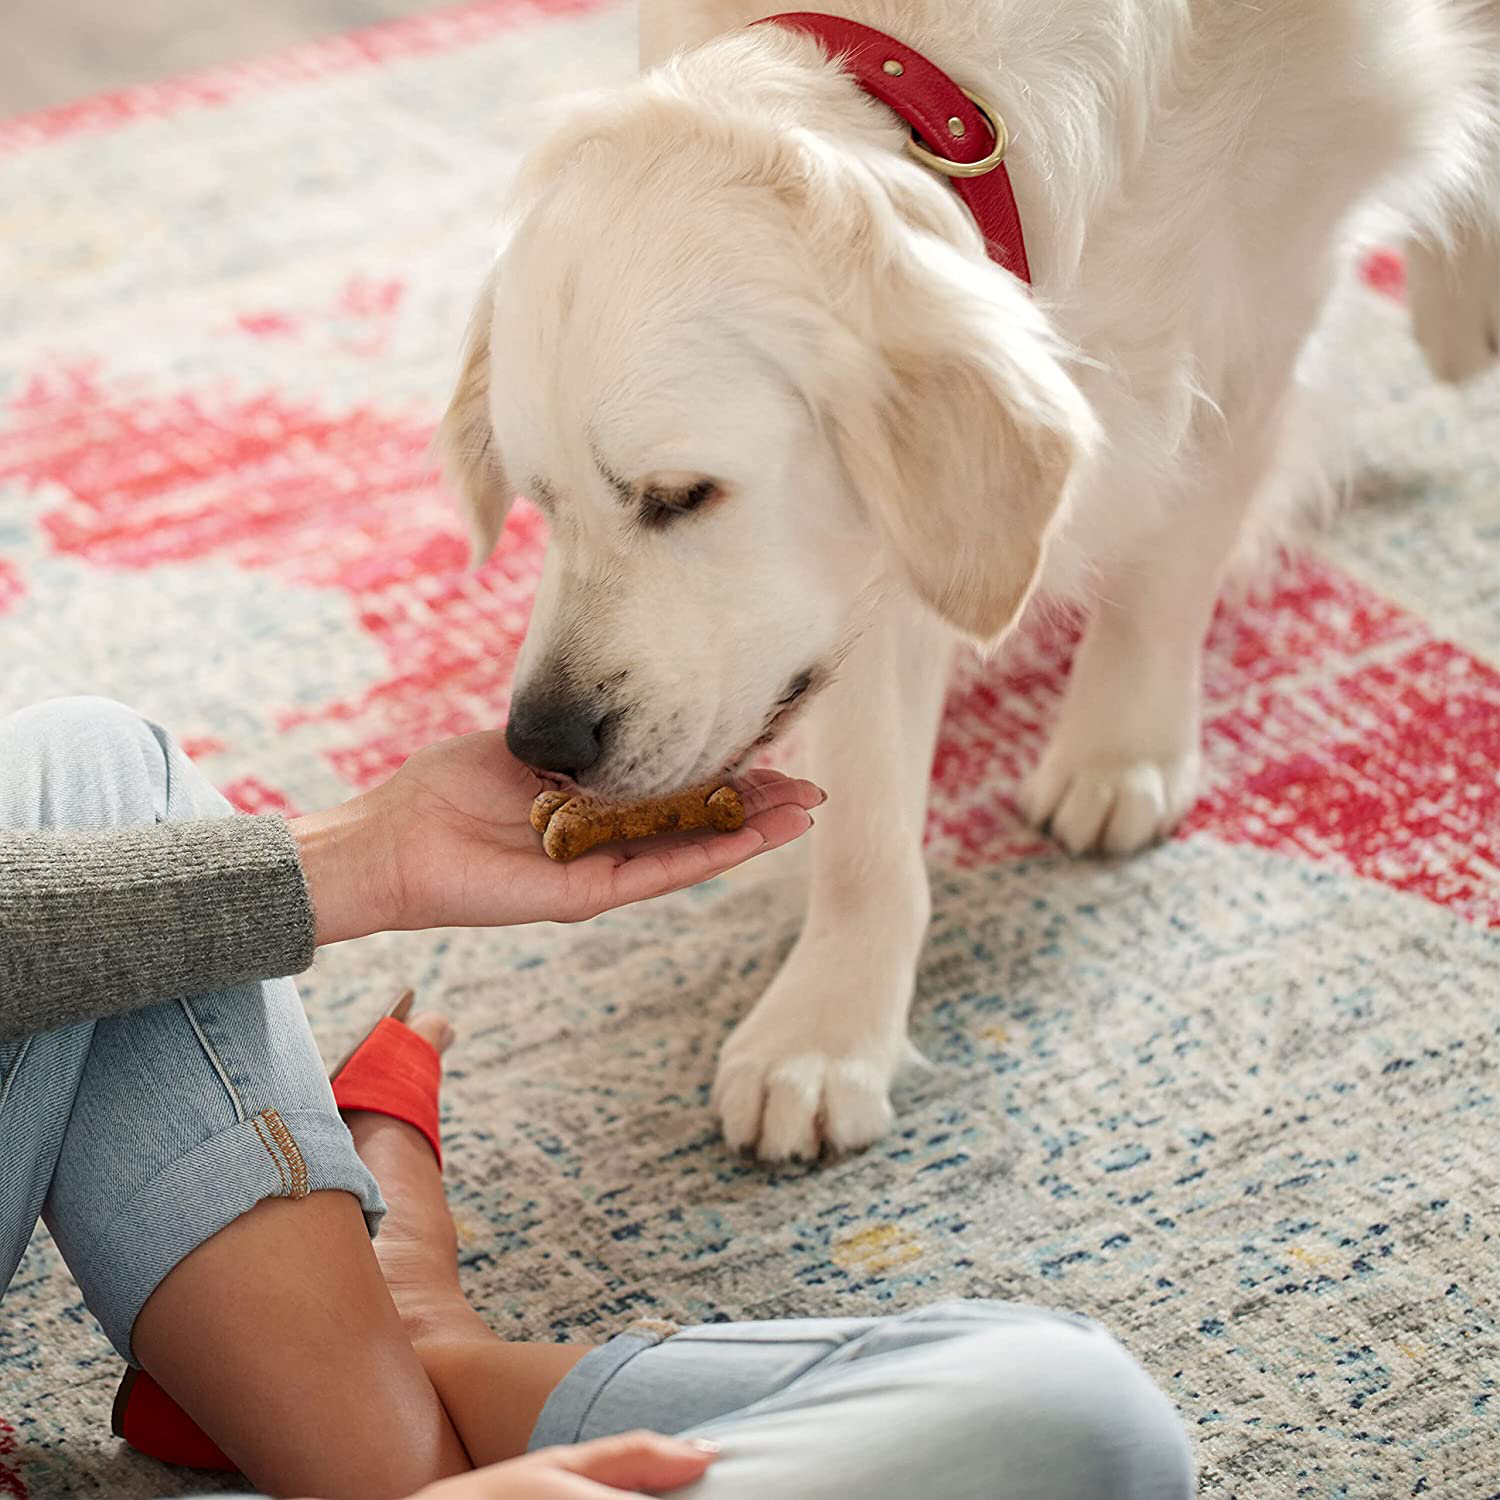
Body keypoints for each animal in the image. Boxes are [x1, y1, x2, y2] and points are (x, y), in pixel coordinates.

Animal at [438, 0, 1494, 1158]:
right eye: (537, 500)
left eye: (683, 496)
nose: (541, 742)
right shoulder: (867, 569)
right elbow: (865, 817)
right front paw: (829, 1024)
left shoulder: (1261, 293)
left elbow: (1168, 564)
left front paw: (1120, 751)